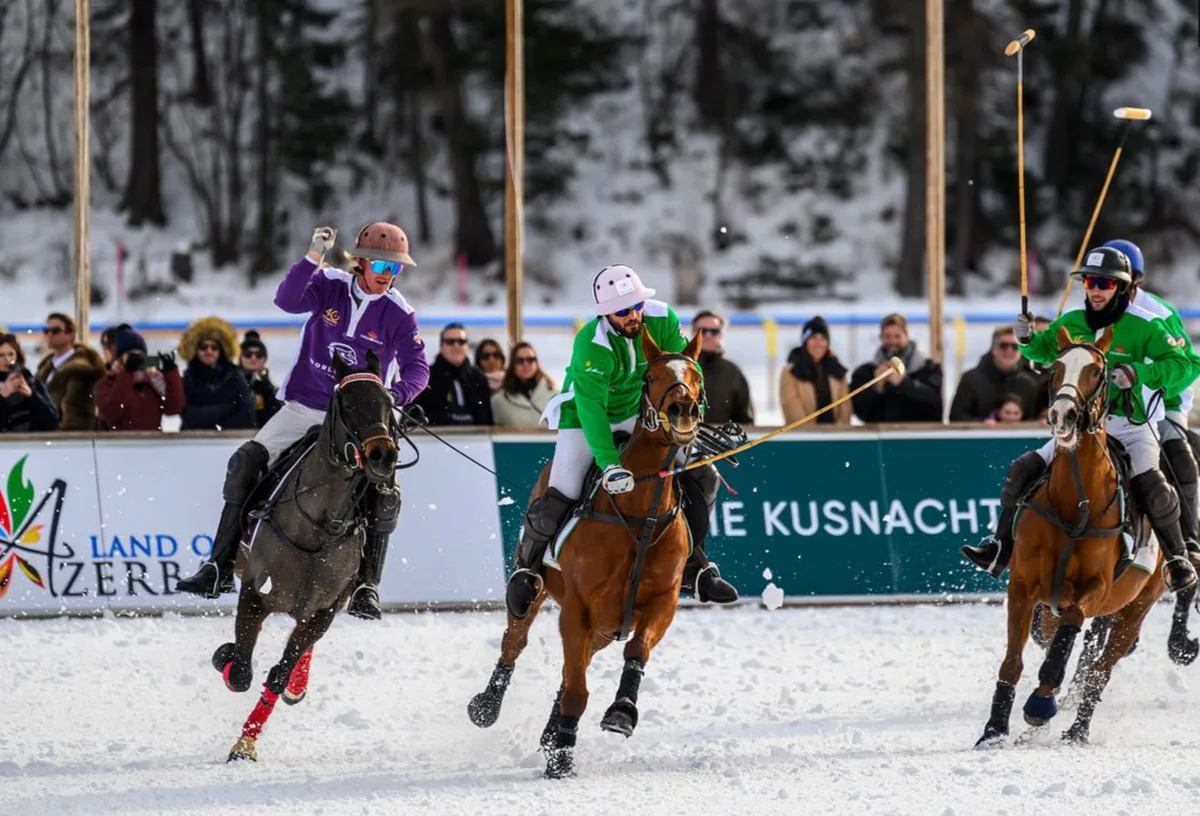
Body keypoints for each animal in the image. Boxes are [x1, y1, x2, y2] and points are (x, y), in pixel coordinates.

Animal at [213, 352, 400, 763]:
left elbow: (279, 672)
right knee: (244, 462)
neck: (320, 524)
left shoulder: (324, 609)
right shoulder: (254, 590)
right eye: (348, 404)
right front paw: (226, 657)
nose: (383, 455)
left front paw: (245, 744)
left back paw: (298, 683)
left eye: (388, 402)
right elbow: (241, 672)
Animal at [468, 324, 705, 777]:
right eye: (651, 376)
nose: (683, 408)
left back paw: (550, 731)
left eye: (696, 376)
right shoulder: (577, 607)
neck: (640, 516)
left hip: (604, 626)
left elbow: (635, 651)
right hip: (542, 593)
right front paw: (561, 758)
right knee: (515, 642)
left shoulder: (661, 602)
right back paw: (486, 706)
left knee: (572, 668)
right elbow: (576, 687)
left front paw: (621, 713)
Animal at [979, 328, 1166, 748]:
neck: (1074, 504)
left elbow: (1063, 650)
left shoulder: (1094, 590)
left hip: (1135, 607)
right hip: (1054, 606)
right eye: (1055, 367)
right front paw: (994, 730)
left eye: (1098, 371)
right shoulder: (1023, 587)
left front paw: (1038, 707)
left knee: (1099, 670)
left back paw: (1076, 731)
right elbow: (1012, 662)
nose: (1061, 415)